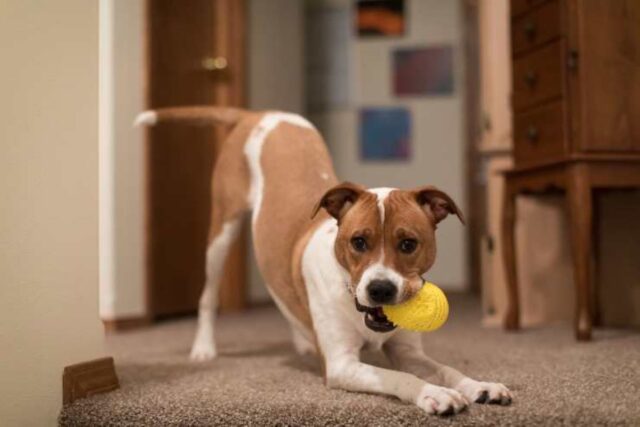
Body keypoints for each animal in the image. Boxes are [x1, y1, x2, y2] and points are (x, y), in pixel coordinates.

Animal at [136, 105, 516, 416]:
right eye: (358, 241)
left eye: (409, 244)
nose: (380, 289)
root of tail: (257, 114)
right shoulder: (342, 365)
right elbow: (399, 377)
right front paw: (433, 393)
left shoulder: (409, 351)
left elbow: (444, 368)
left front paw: (479, 385)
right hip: (221, 231)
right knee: (208, 294)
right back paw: (204, 348)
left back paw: (302, 340)